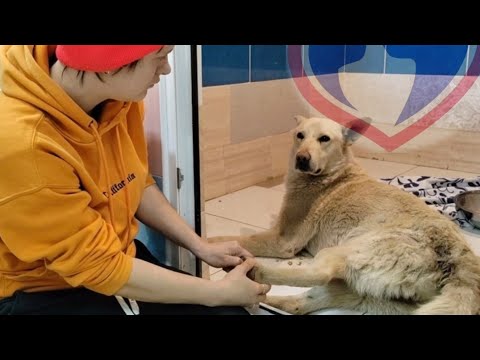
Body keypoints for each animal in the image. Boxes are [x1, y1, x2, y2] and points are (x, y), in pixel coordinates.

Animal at [208, 116, 480, 316]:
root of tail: (458, 258)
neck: (334, 173)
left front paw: (211, 244)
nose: (301, 158)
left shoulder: (283, 241)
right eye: (300, 135)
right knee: (303, 304)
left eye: (324, 139)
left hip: (343, 252)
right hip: (376, 297)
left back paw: (254, 272)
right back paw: (262, 299)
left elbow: (230, 238)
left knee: (320, 273)